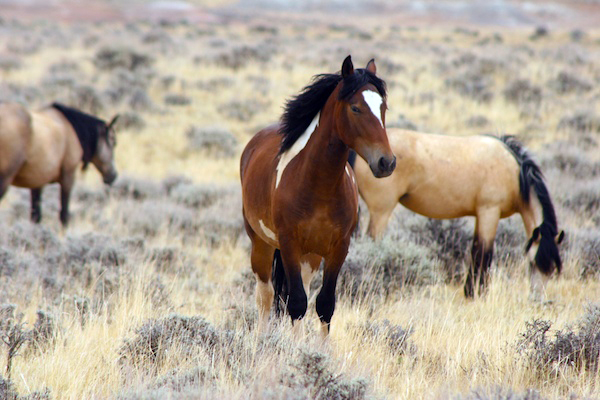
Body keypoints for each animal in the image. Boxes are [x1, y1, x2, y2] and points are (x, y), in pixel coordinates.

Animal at [239, 56, 398, 336]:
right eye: (355, 108)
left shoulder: (339, 248)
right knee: (265, 297)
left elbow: (325, 304)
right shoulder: (289, 245)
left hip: (310, 257)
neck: (319, 186)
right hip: (262, 244)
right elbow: (297, 304)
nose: (386, 162)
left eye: (383, 108)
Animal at [352, 130, 564, 302]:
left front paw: (470, 291)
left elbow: (476, 250)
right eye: (532, 263)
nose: (537, 299)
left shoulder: (481, 215)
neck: (515, 174)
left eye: (552, 268)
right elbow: (484, 254)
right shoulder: (489, 211)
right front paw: (479, 293)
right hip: (381, 211)